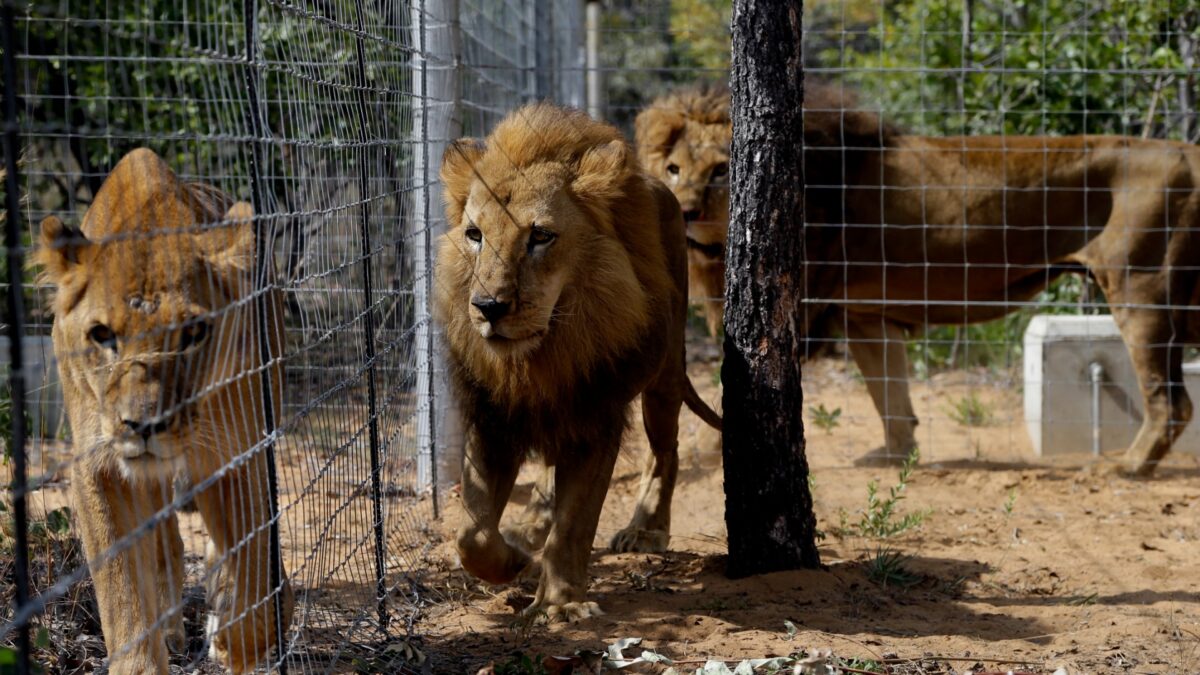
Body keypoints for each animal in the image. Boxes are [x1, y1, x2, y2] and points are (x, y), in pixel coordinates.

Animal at [34, 148, 292, 672]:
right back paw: (174, 628)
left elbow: (257, 559)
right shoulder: (98, 465)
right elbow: (122, 591)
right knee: (165, 544)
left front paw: (239, 632)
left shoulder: (238, 450)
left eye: (193, 333)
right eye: (102, 335)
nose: (143, 424)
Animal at [436, 100, 724, 619]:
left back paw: (646, 528)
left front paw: (560, 603)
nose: (488, 307)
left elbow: (574, 524)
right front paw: (513, 559)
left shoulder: (596, 415)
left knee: (665, 451)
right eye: (474, 234)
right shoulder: (494, 415)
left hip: (665, 373)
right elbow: (472, 532)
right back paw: (528, 527)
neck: (544, 357)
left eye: (540, 236)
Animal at [643, 82, 1200, 473]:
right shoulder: (863, 315)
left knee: (1170, 402)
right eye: (673, 169)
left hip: (1142, 291)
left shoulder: (800, 313)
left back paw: (1126, 467)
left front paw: (704, 454)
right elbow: (890, 394)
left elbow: (731, 398)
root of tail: (1187, 152)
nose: (686, 212)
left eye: (721, 170)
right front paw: (896, 456)